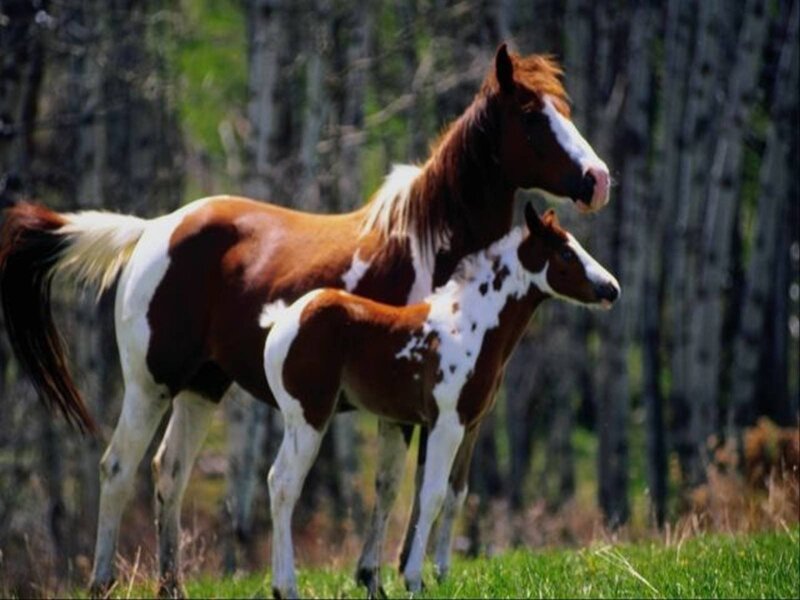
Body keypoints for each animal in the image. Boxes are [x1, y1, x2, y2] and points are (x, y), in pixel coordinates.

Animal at [263, 204, 620, 597]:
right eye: (567, 252)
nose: (611, 289)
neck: (470, 327)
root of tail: (282, 320)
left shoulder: (471, 424)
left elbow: (455, 494)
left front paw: (443, 573)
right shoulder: (446, 424)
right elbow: (431, 496)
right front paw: (414, 579)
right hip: (308, 415)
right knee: (283, 484)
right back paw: (286, 586)